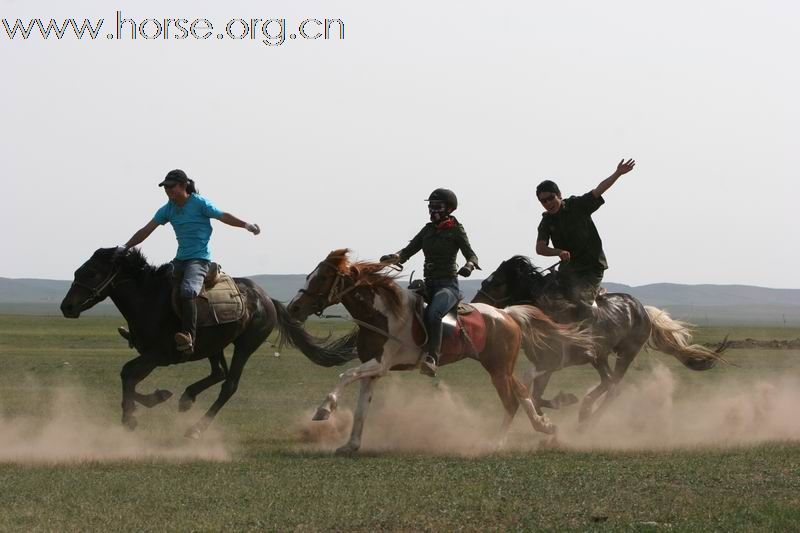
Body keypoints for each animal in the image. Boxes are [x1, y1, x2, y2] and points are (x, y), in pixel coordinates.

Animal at [59, 247, 354, 438]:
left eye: (91, 272)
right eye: (78, 271)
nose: (66, 306)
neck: (148, 299)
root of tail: (267, 299)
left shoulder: (159, 355)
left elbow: (127, 373)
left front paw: (130, 416)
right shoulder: (152, 356)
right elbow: (129, 377)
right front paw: (157, 398)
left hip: (245, 345)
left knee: (229, 385)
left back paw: (196, 428)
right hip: (216, 344)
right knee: (219, 372)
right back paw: (187, 398)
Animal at [284, 249, 592, 454]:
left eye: (323, 277)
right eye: (310, 275)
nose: (294, 308)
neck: (382, 313)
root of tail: (507, 314)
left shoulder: (380, 364)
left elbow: (345, 375)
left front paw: (324, 410)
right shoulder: (373, 372)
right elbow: (361, 408)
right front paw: (351, 445)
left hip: (497, 369)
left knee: (510, 402)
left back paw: (497, 443)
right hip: (501, 367)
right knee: (523, 392)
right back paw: (545, 426)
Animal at [476, 256, 732, 424]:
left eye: (497, 282)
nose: (477, 302)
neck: (550, 311)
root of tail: (644, 311)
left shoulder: (555, 361)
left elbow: (534, 389)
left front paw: (567, 401)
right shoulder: (546, 365)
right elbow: (537, 397)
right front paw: (564, 401)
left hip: (623, 354)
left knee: (613, 387)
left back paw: (587, 415)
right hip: (603, 357)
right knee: (609, 383)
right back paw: (585, 409)